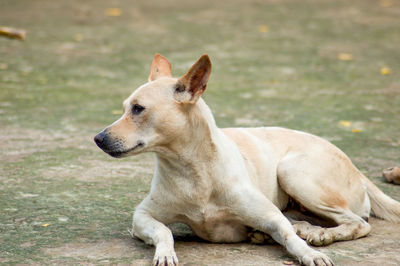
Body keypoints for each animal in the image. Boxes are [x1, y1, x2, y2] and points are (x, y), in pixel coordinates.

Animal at [94, 54, 400, 266]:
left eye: (138, 109)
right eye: (125, 108)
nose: (97, 138)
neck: (192, 172)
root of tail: (357, 169)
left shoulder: (270, 215)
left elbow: (289, 238)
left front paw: (308, 253)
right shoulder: (142, 217)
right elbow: (164, 232)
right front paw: (165, 253)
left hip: (293, 172)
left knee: (359, 223)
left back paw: (323, 235)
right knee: (307, 220)